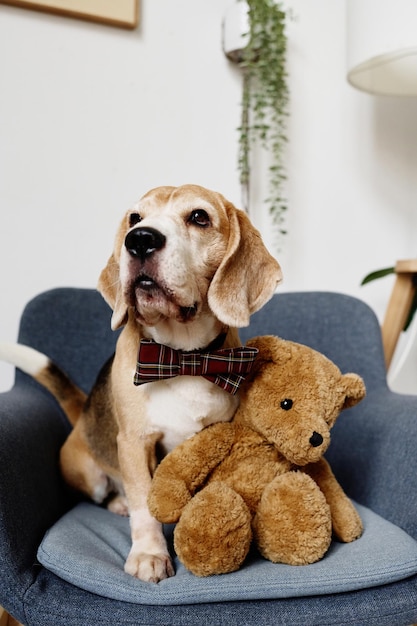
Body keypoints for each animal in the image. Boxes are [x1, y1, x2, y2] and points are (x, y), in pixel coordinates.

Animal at [1, 184, 282, 580]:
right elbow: (143, 503)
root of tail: (82, 416)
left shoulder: (218, 433)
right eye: (135, 218)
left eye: (199, 217)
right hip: (91, 473)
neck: (183, 358)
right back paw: (119, 503)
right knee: (108, 493)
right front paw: (150, 554)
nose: (140, 240)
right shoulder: (134, 442)